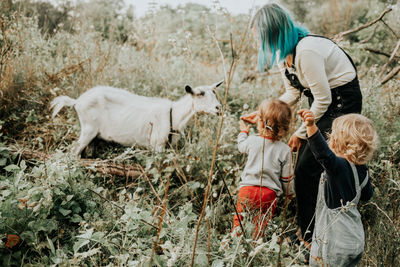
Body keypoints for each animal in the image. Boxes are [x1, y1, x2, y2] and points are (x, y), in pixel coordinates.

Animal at [50, 82, 223, 157]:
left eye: (214, 92)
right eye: (200, 94)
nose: (219, 108)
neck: (174, 115)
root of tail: (77, 101)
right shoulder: (156, 146)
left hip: (94, 135)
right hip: (88, 128)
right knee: (74, 152)